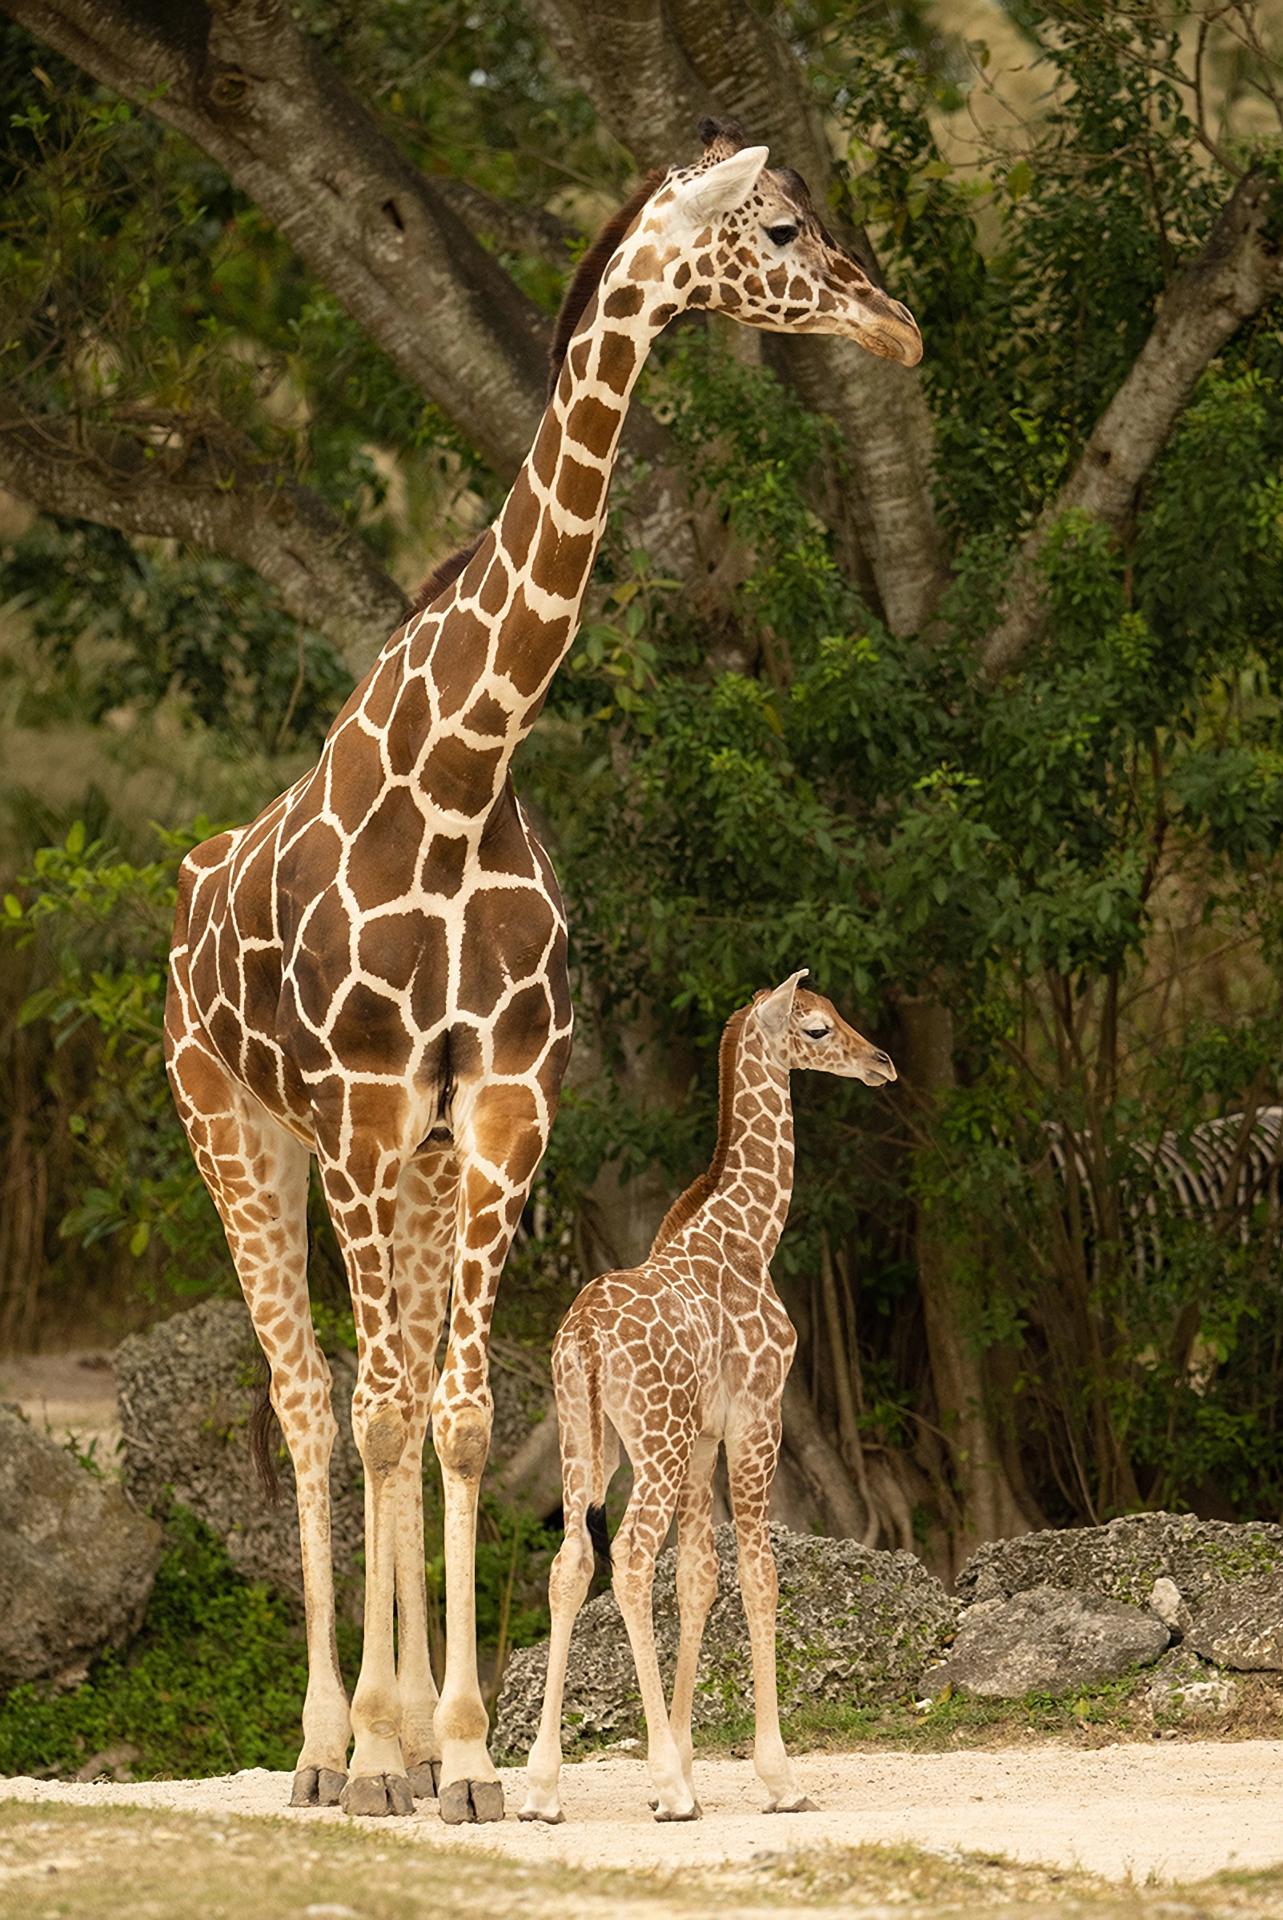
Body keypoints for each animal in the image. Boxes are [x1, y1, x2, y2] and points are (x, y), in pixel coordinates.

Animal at [518, 967, 891, 1820]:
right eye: (818, 1027)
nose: (881, 1062)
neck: (752, 1236)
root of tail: (584, 1339)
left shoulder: (702, 1436)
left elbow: (697, 1578)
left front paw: (690, 1758)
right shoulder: (756, 1417)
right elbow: (757, 1575)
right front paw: (774, 1778)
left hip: (590, 1442)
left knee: (569, 1562)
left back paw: (542, 1789)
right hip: (649, 1444)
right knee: (625, 1556)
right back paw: (660, 1786)